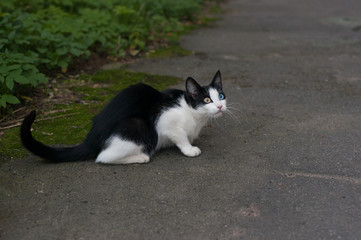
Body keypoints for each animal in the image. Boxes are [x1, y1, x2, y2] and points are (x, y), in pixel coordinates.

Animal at [20, 70, 225, 164]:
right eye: (207, 99)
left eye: (221, 96)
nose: (220, 106)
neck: (192, 112)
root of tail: (90, 138)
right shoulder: (166, 121)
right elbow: (180, 136)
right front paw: (189, 149)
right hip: (139, 127)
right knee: (103, 157)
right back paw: (140, 157)